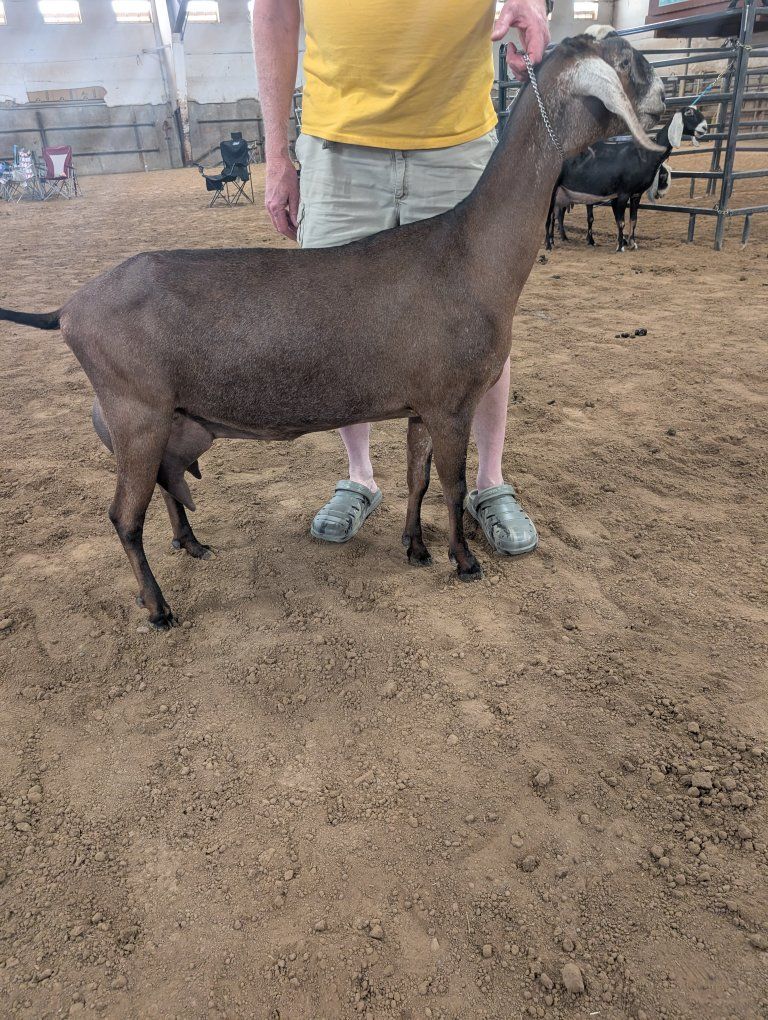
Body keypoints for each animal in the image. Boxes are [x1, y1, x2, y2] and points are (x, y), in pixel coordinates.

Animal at [0, 29, 665, 630]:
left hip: (165, 422)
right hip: (135, 413)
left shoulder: (421, 404)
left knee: (165, 486)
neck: (469, 254)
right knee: (123, 517)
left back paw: (191, 544)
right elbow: (452, 485)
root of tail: (68, 309)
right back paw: (159, 608)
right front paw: (463, 560)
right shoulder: (452, 400)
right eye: (630, 62)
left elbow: (418, 477)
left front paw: (415, 548)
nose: (669, 102)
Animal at [545, 105, 707, 251]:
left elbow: (633, 220)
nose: (705, 127)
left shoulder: (636, 194)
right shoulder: (623, 193)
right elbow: (620, 221)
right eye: (689, 112)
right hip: (552, 190)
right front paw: (620, 246)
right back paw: (548, 245)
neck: (643, 155)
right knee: (549, 217)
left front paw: (632, 243)